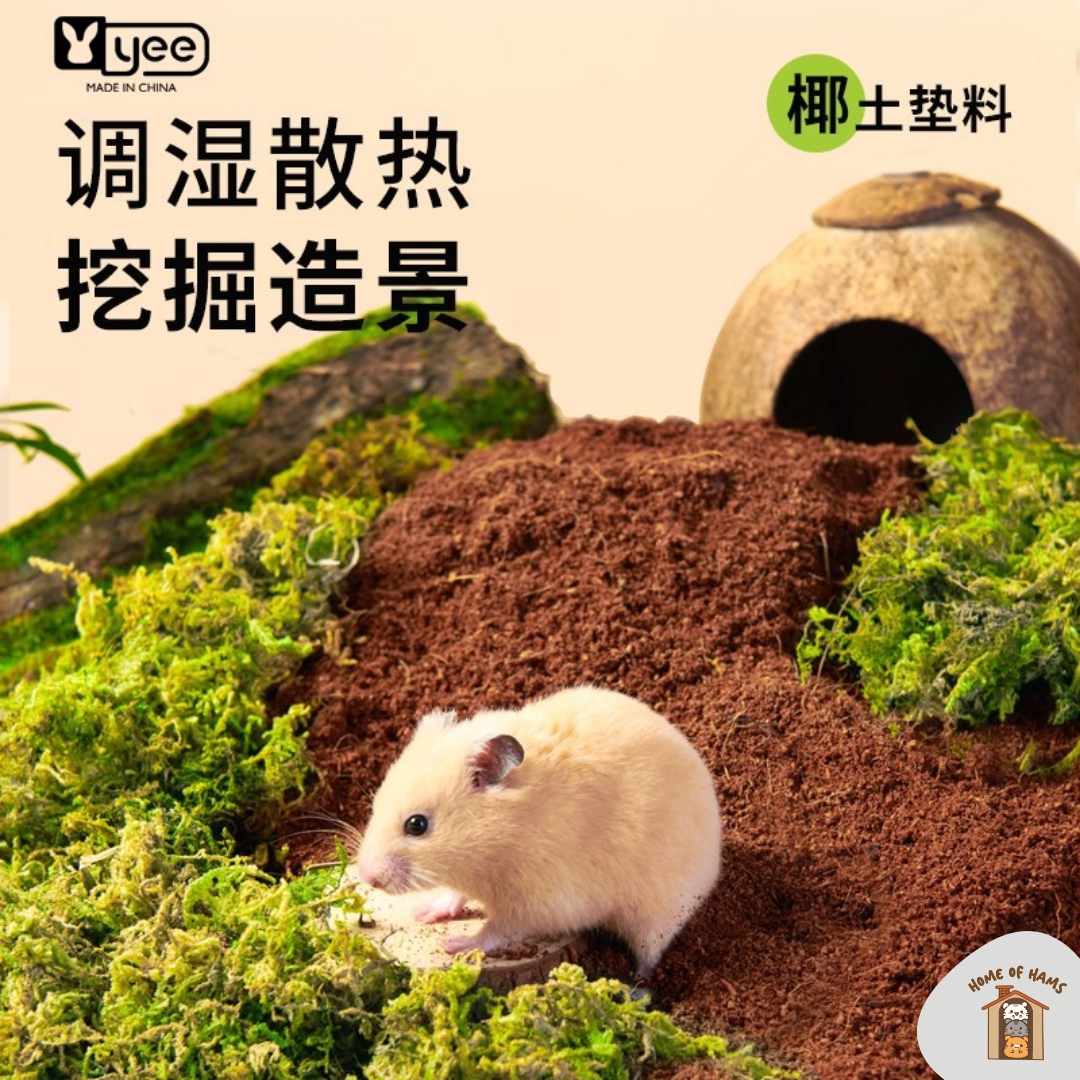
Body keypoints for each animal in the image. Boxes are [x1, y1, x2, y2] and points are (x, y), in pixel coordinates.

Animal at [353, 686, 722, 978]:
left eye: (417, 825)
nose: (367, 877)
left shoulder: (538, 904)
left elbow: (497, 931)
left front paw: (456, 944)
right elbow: (457, 895)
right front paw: (426, 913)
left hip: (658, 915)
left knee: (650, 954)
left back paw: (636, 987)